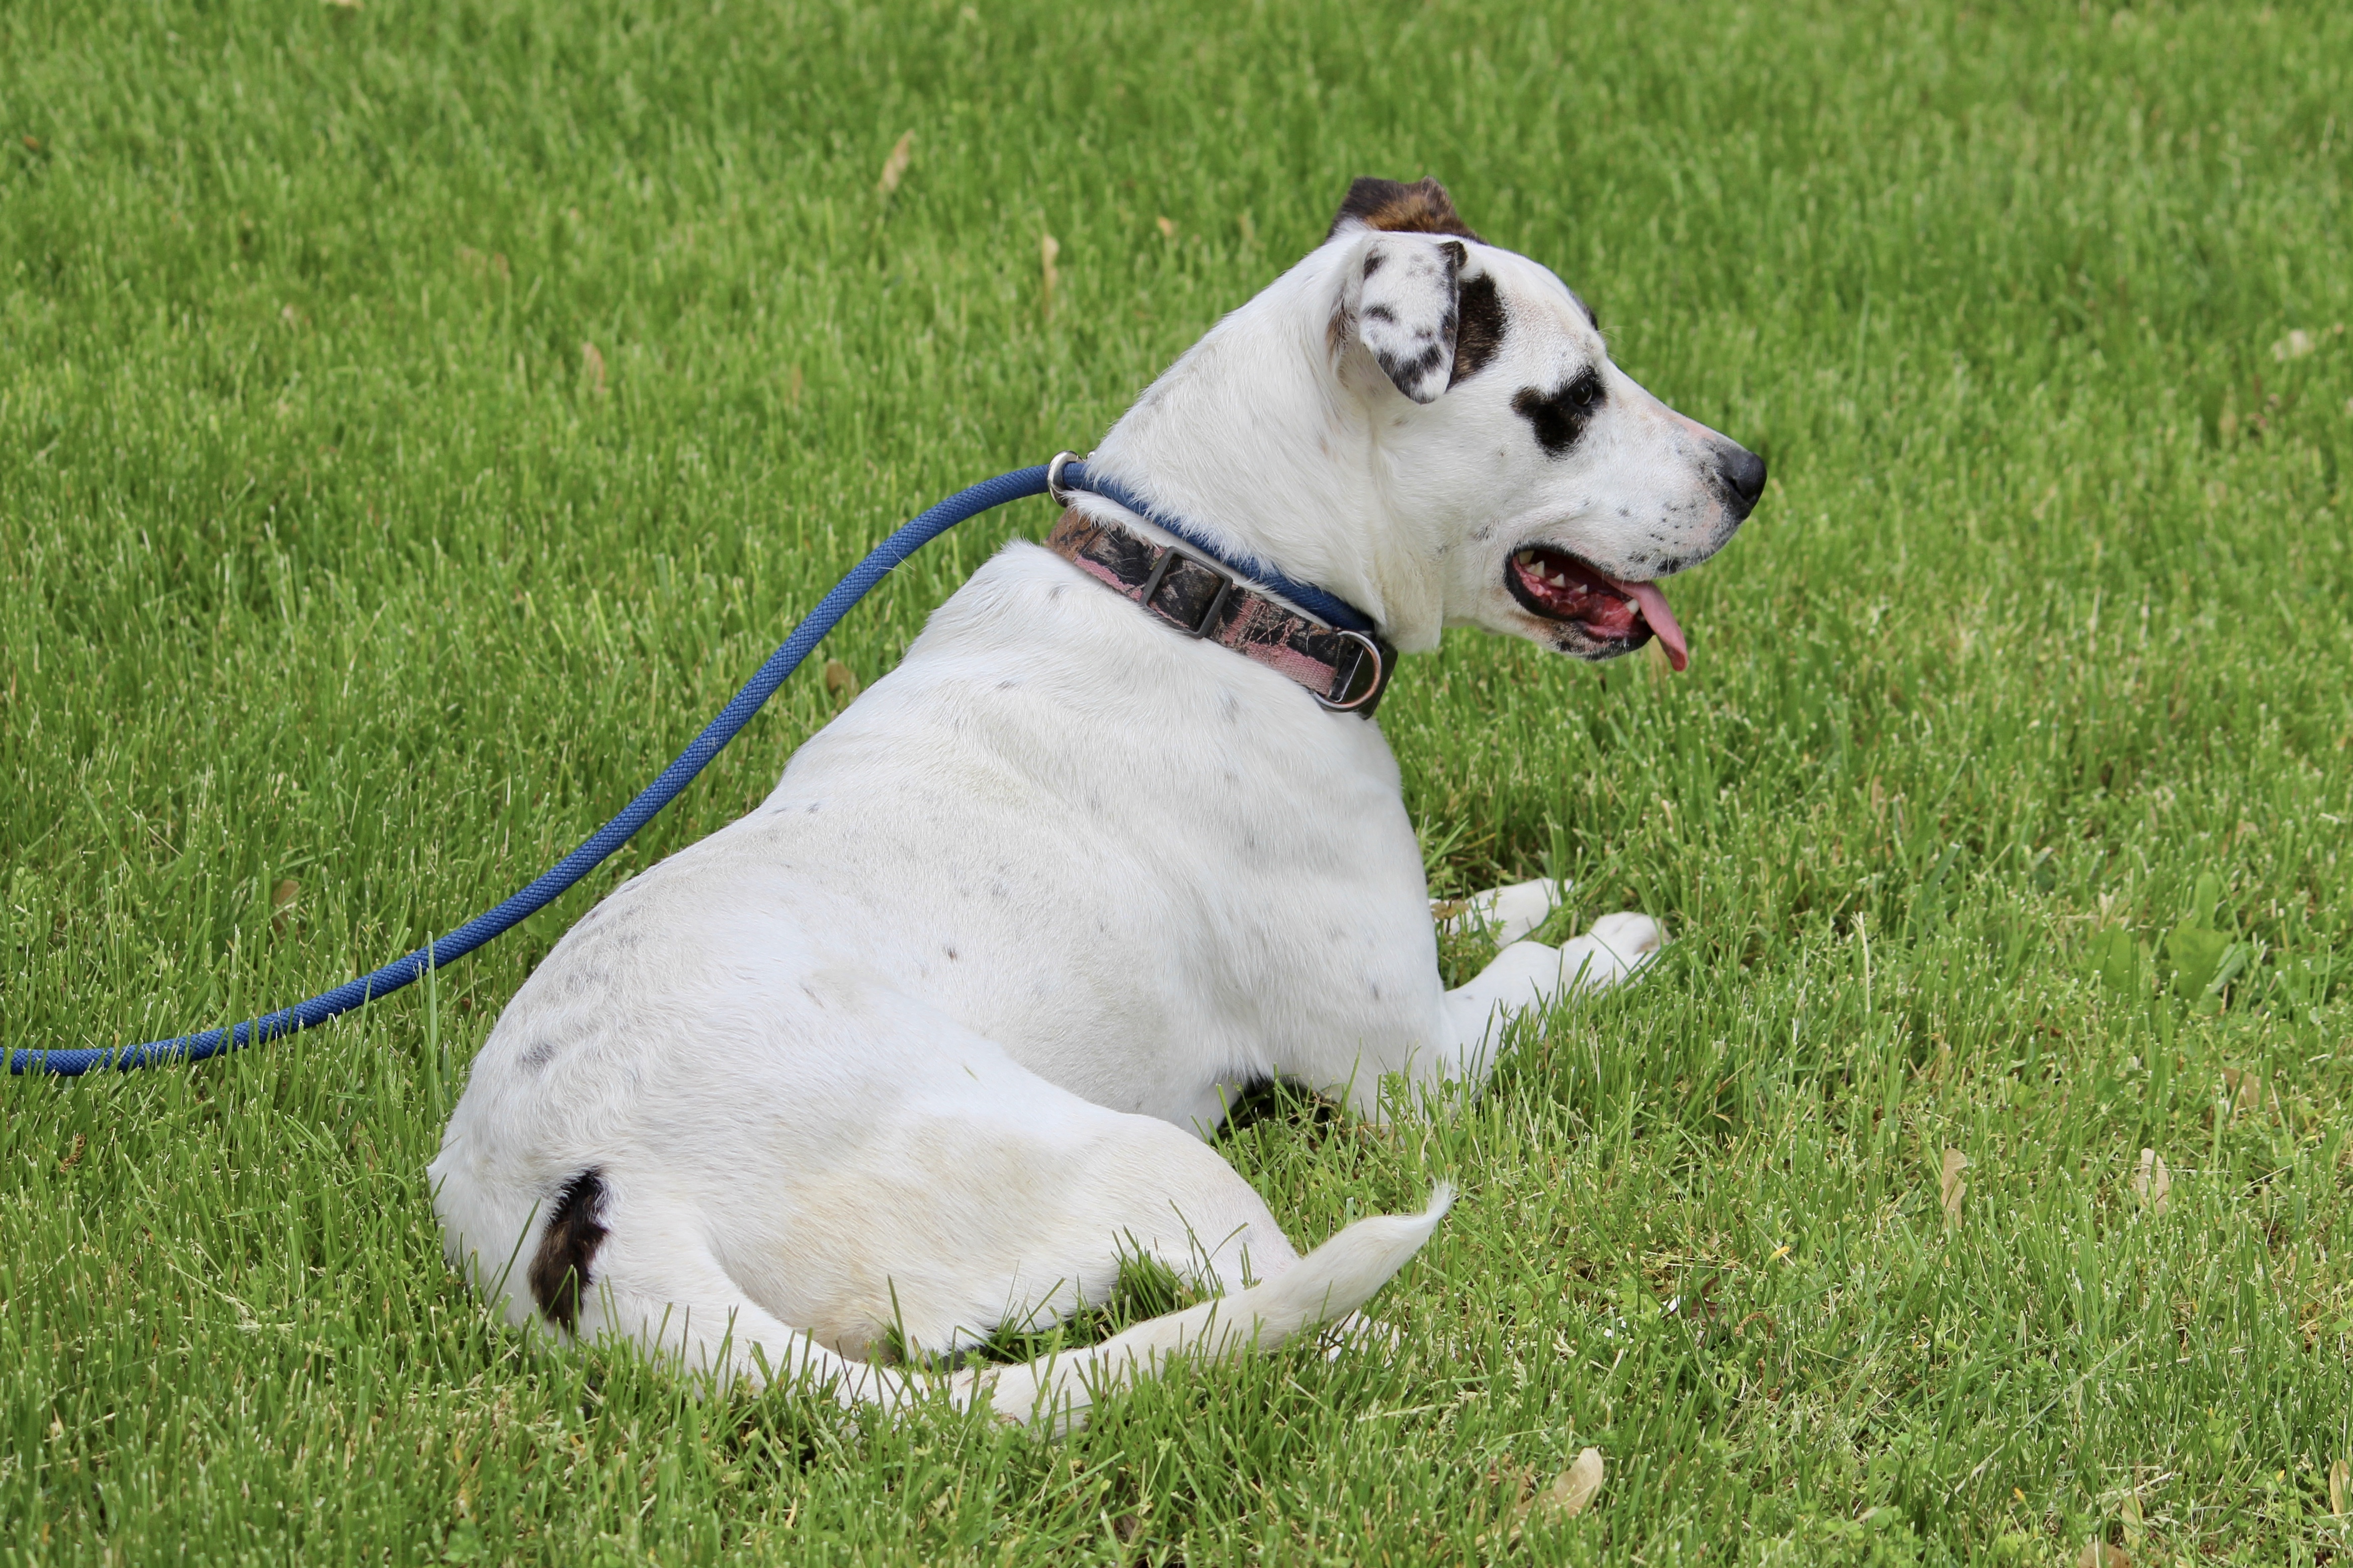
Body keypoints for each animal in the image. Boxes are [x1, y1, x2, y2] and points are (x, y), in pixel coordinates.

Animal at [428, 177, 1769, 1429]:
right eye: (1571, 401)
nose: (1752, 473)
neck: (1216, 593)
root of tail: (582, 1207)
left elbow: (1462, 914)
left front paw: (1520, 892)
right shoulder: (1414, 1068)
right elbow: (1534, 979)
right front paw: (1607, 940)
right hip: (1141, 1157)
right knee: (1311, 1327)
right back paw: (1535, 1359)